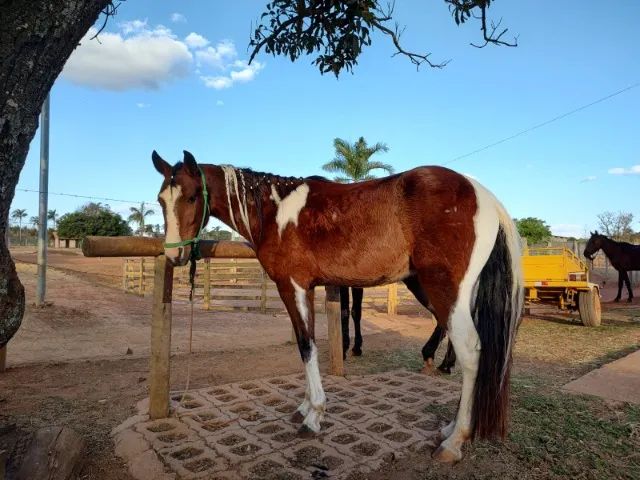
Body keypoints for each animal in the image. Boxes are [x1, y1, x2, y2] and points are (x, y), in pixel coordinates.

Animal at [152, 150, 524, 462]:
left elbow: (306, 345)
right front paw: (305, 407)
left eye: (191, 196)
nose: (175, 255)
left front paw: (314, 415)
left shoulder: (292, 286)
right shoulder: (309, 288)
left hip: (442, 289)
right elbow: (309, 344)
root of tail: (482, 195)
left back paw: (455, 440)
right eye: (160, 200)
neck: (274, 212)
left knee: (472, 351)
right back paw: (449, 425)